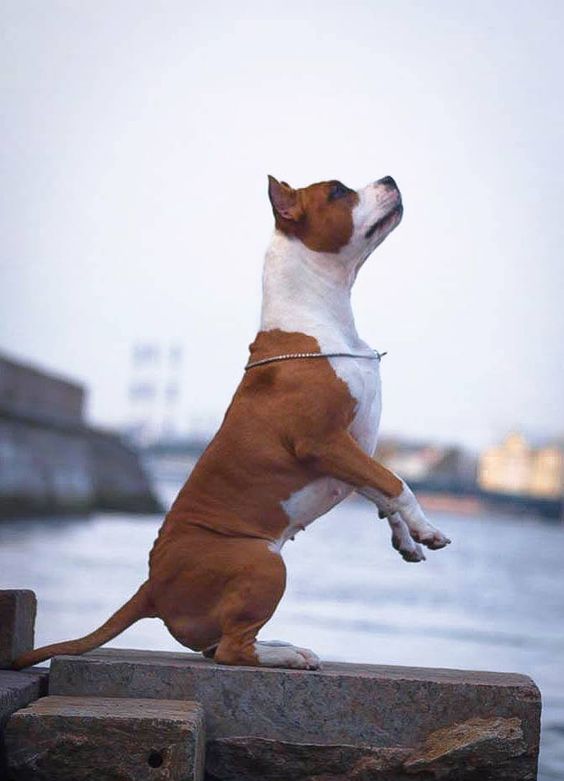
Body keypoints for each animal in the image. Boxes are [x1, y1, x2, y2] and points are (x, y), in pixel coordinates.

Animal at [15, 175, 452, 672]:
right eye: (339, 191)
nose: (390, 179)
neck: (318, 320)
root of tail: (152, 588)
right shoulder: (324, 443)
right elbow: (396, 482)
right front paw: (426, 529)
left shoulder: (353, 449)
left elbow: (380, 490)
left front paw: (407, 540)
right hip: (264, 563)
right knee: (231, 649)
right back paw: (287, 656)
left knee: (221, 643)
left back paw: (282, 645)